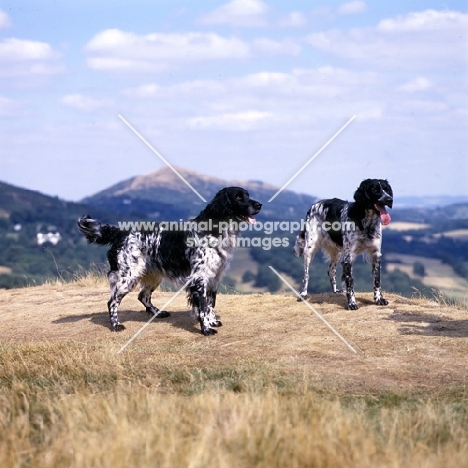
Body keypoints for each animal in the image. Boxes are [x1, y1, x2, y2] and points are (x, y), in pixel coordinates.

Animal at [77, 186, 262, 336]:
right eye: (238, 197)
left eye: (247, 195)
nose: (259, 205)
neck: (213, 230)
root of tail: (121, 232)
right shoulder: (199, 278)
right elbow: (202, 307)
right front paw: (206, 329)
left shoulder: (214, 277)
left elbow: (210, 304)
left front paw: (212, 321)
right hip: (128, 276)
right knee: (112, 302)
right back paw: (116, 325)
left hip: (152, 275)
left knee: (142, 296)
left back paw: (158, 313)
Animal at [294, 177, 394, 308]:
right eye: (375, 190)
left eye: (387, 190)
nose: (389, 199)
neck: (366, 222)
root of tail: (314, 205)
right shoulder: (348, 256)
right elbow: (350, 281)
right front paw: (351, 303)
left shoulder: (375, 254)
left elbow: (377, 280)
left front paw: (379, 299)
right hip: (310, 248)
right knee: (306, 274)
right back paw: (303, 294)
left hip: (336, 252)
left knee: (331, 270)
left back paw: (336, 291)